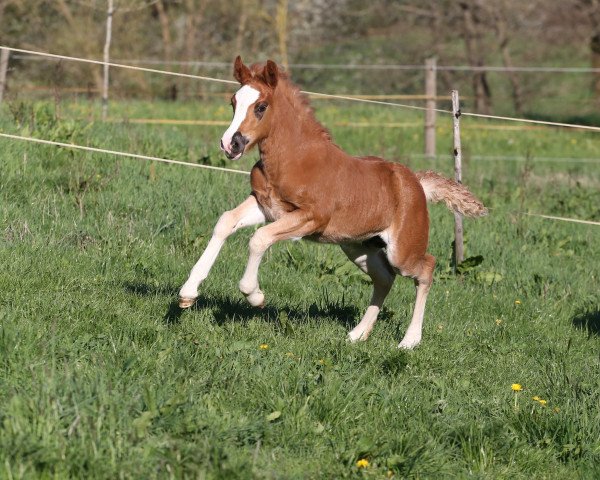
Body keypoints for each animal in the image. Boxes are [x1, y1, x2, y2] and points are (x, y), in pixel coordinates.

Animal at [178, 57, 488, 348]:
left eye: (261, 106)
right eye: (233, 102)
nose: (231, 144)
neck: (293, 158)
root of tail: (417, 184)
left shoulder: (311, 217)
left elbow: (259, 239)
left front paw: (254, 295)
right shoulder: (266, 206)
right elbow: (226, 222)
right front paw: (188, 293)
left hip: (402, 251)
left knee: (425, 269)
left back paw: (409, 341)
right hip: (359, 247)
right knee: (384, 279)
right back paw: (358, 334)